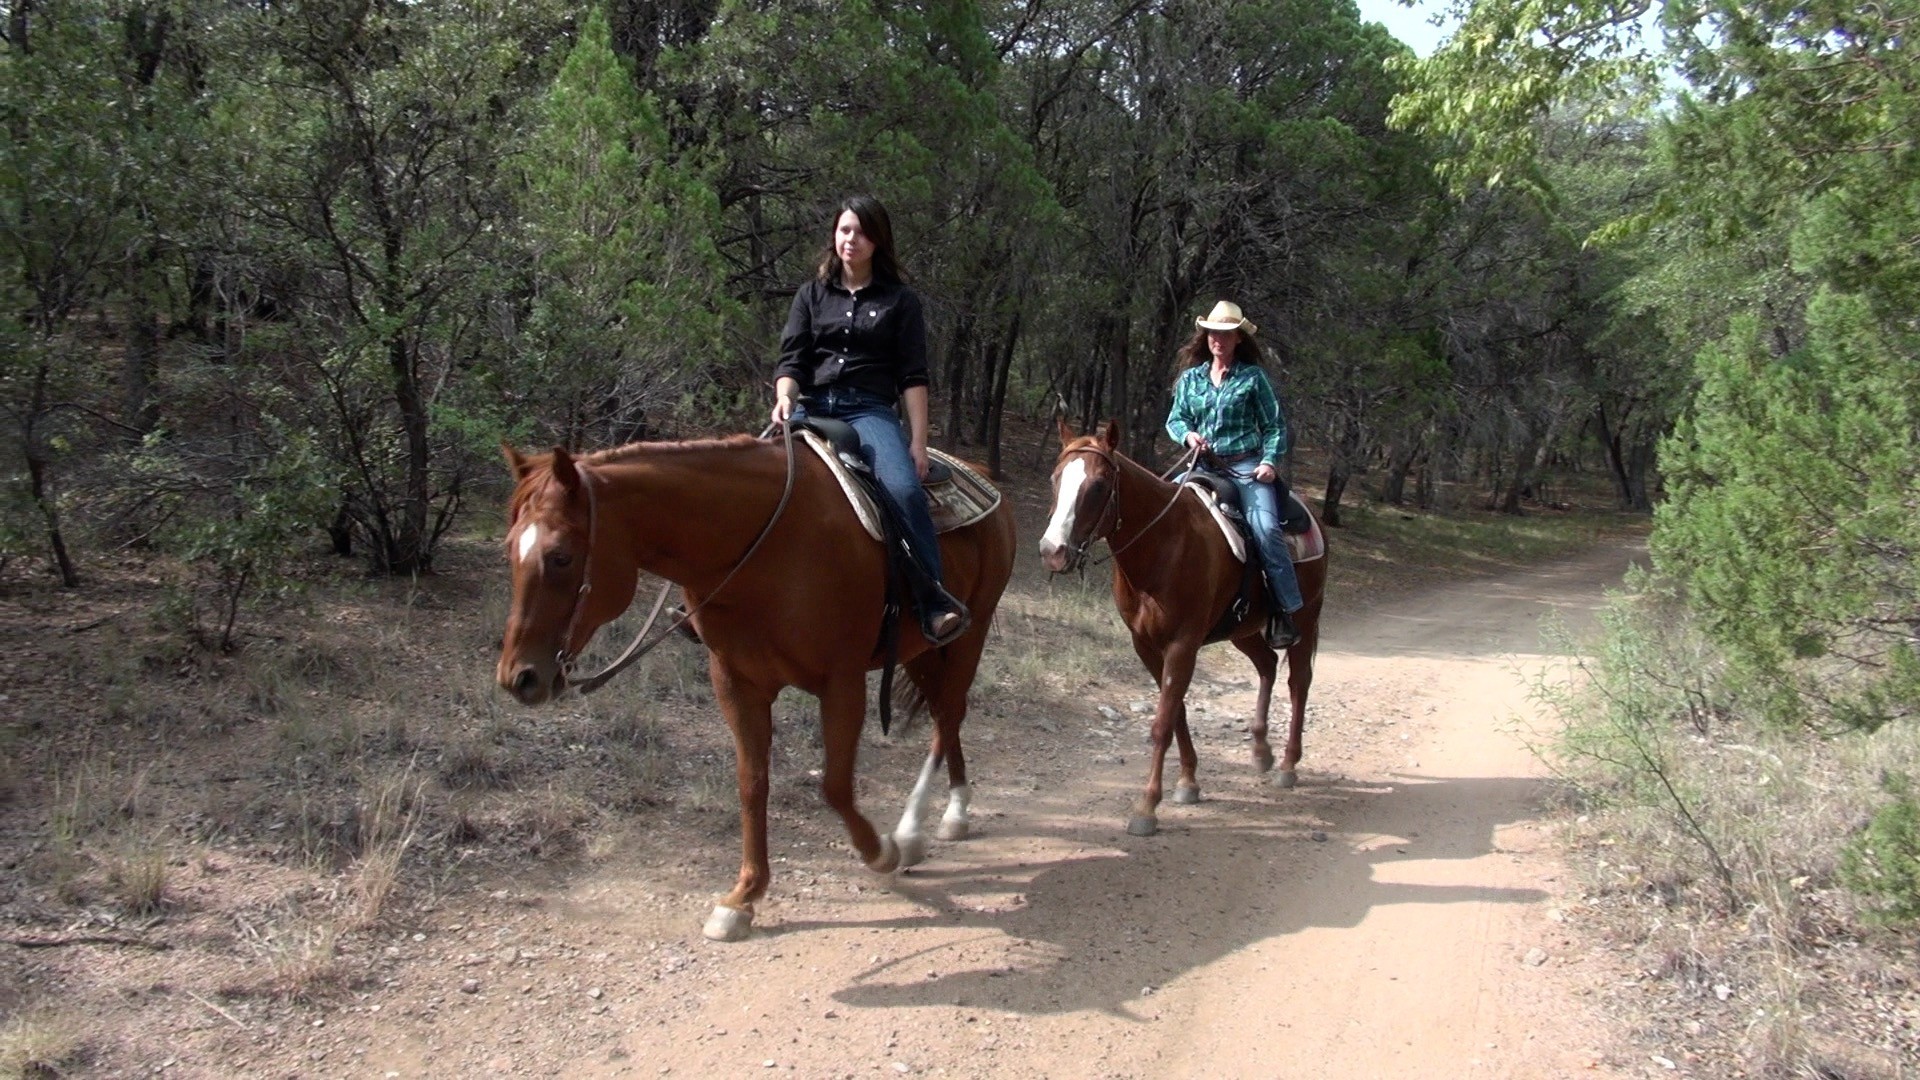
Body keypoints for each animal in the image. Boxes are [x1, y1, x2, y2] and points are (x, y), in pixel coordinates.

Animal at [499, 432, 1021, 937]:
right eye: (509, 550)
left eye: (561, 557)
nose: (518, 678)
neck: (765, 549)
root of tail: (981, 474)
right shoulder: (736, 682)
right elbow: (751, 784)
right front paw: (742, 897)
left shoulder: (842, 681)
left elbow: (834, 785)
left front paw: (881, 851)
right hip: (920, 651)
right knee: (942, 713)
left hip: (970, 631)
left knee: (948, 713)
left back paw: (926, 826)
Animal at [1036, 418, 1320, 834]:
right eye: (1056, 478)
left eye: (1099, 485)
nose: (1052, 552)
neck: (1162, 545)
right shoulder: (1146, 646)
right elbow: (1177, 713)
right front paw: (1187, 781)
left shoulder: (1182, 645)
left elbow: (1162, 722)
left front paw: (1146, 808)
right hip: (1242, 630)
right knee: (1267, 664)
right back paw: (1260, 751)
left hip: (1305, 618)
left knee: (1298, 683)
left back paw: (1287, 764)